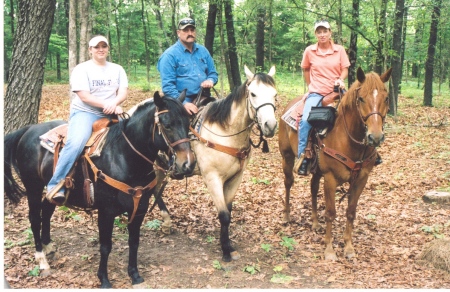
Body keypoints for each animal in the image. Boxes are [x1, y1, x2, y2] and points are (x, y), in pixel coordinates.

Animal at [3, 92, 197, 288]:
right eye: (167, 125)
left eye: (188, 123)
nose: (188, 164)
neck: (123, 156)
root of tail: (28, 130)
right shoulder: (106, 211)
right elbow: (105, 246)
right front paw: (104, 279)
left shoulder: (139, 208)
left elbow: (134, 242)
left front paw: (134, 275)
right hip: (33, 187)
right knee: (35, 218)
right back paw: (42, 260)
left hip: (54, 192)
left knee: (47, 209)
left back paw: (48, 247)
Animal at [127, 65, 278, 262]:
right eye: (253, 94)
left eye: (275, 94)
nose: (270, 125)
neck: (225, 132)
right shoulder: (212, 178)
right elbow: (224, 215)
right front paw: (225, 251)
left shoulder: (236, 178)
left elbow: (228, 211)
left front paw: (229, 246)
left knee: (155, 187)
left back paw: (166, 221)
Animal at [280, 66, 392, 260]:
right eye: (361, 98)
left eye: (386, 98)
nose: (375, 137)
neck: (348, 139)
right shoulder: (330, 178)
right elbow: (331, 213)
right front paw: (329, 250)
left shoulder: (361, 179)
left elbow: (351, 212)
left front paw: (348, 247)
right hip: (286, 157)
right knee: (288, 183)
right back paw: (287, 217)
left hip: (317, 170)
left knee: (313, 188)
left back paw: (315, 223)